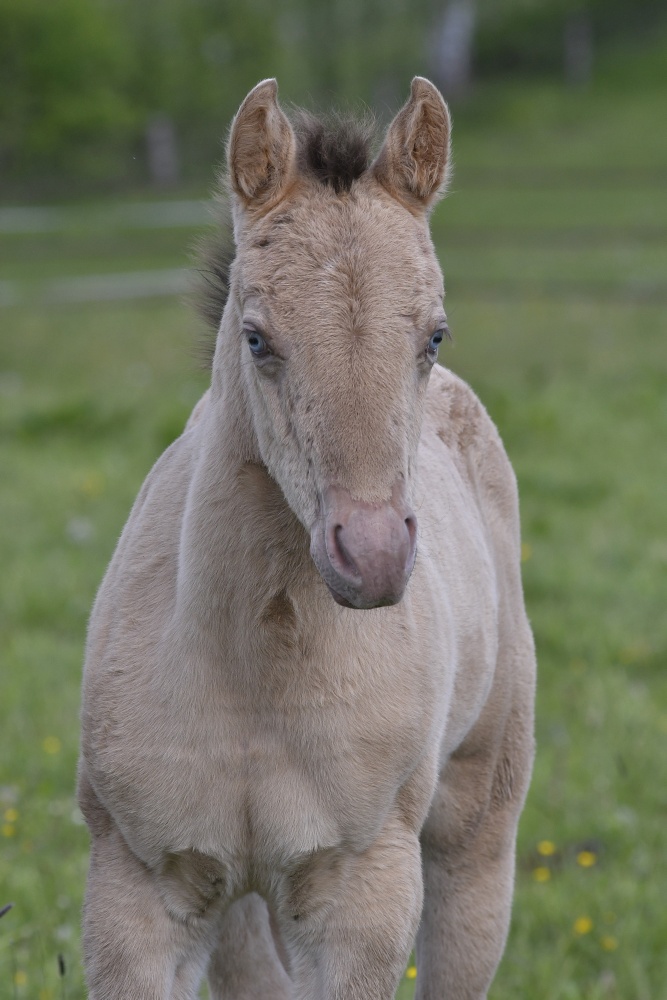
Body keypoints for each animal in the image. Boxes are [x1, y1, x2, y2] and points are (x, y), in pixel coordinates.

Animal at [78, 80, 536, 1000]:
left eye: (433, 336)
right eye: (257, 338)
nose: (374, 555)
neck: (257, 673)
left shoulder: (362, 894)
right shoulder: (136, 886)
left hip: (476, 824)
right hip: (243, 907)